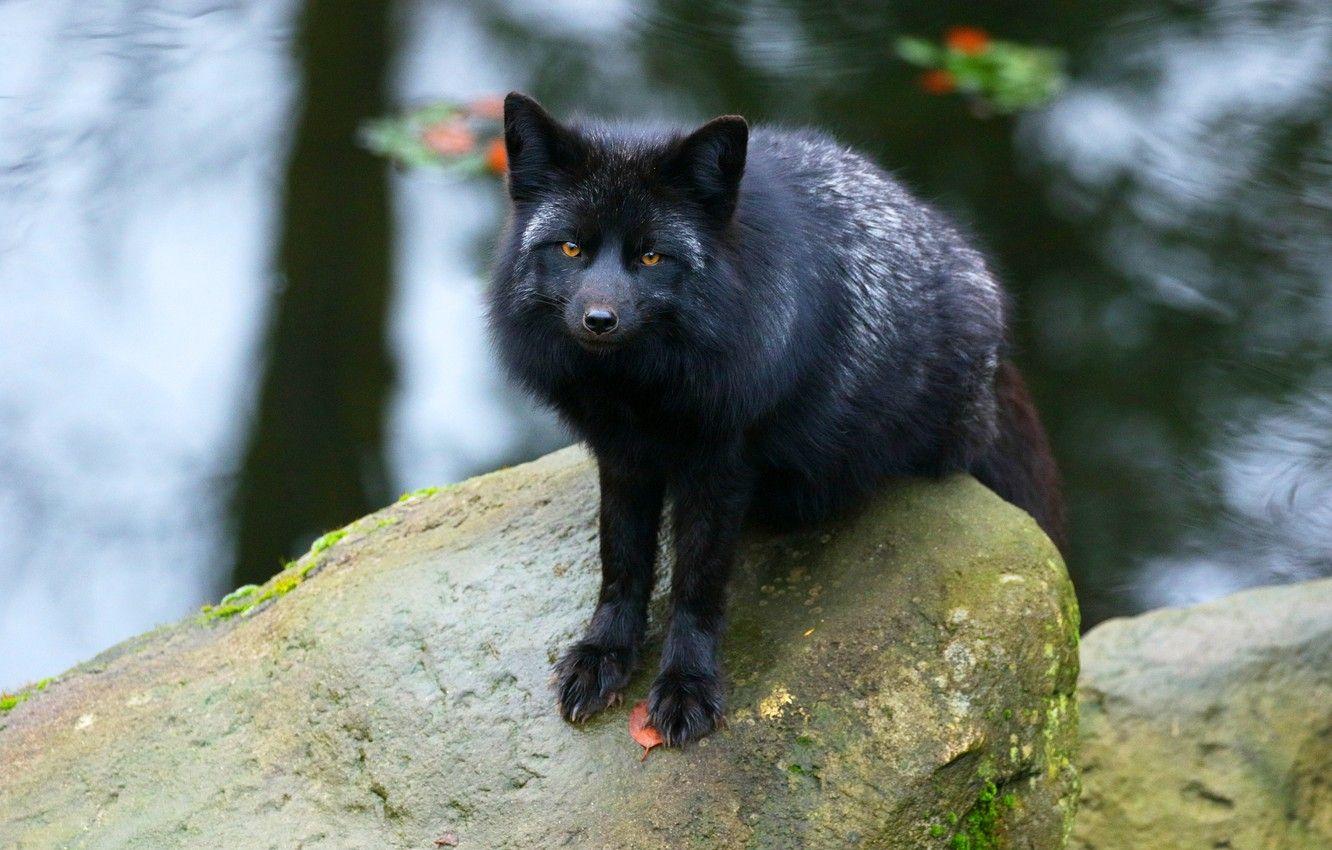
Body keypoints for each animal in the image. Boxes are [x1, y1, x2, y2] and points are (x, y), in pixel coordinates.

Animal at [488, 93, 1064, 746]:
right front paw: (603, 656)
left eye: (652, 256)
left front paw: (687, 684)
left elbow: (697, 585)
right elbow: (623, 563)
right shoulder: (623, 456)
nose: (599, 319)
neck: (641, 392)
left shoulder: (723, 465)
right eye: (571, 249)